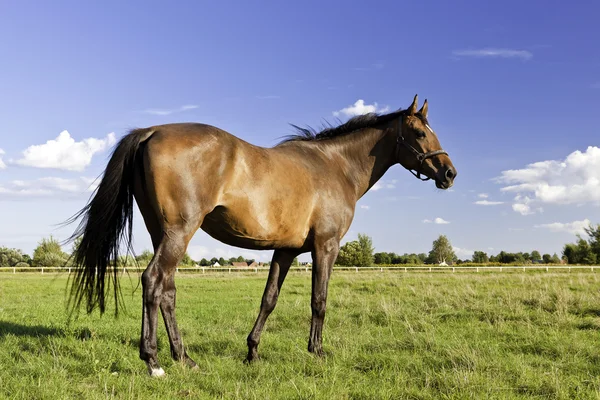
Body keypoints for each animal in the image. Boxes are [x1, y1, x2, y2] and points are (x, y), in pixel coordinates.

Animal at [65, 94, 458, 376]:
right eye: (420, 133)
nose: (449, 173)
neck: (336, 167)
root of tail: (151, 131)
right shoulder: (325, 247)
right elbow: (319, 301)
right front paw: (317, 352)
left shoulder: (285, 251)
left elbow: (268, 300)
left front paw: (252, 352)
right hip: (179, 232)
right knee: (152, 281)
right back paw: (154, 361)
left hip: (161, 232)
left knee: (167, 291)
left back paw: (184, 358)